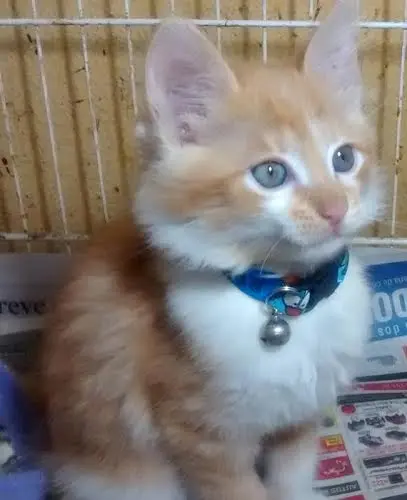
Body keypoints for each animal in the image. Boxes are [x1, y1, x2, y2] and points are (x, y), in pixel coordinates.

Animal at [42, 1, 385, 500]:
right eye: (270, 174)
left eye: (344, 159)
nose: (336, 209)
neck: (288, 298)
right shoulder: (200, 436)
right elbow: (238, 489)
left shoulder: (301, 414)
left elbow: (292, 477)